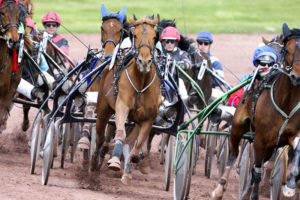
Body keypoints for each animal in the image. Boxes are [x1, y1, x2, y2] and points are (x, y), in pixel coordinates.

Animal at [91, 15, 161, 184]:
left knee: (128, 140)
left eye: (155, 37)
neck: (141, 83)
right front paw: (114, 161)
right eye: (134, 35)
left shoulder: (148, 118)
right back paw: (94, 163)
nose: (144, 61)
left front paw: (134, 162)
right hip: (102, 110)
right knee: (100, 138)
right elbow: (120, 134)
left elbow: (138, 143)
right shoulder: (121, 107)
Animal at [211, 23, 300, 198]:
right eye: (287, 50)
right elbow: (256, 171)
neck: (286, 103)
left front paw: (290, 186)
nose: (296, 76)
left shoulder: (291, 136)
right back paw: (220, 188)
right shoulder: (260, 138)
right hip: (238, 126)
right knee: (233, 154)